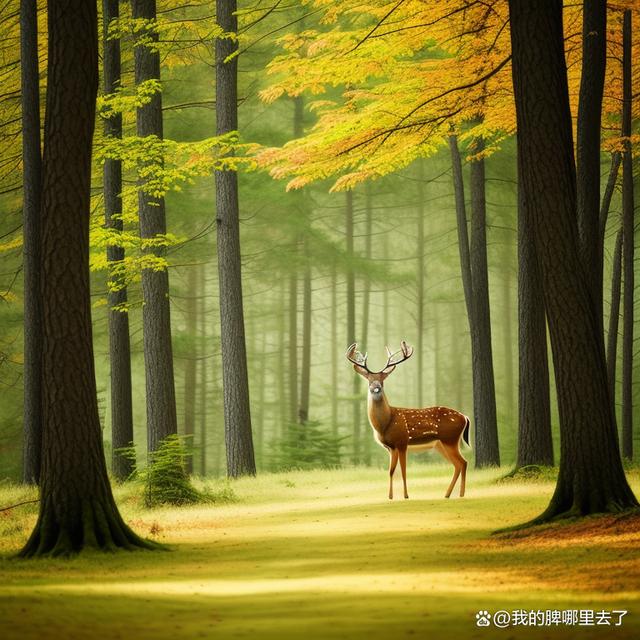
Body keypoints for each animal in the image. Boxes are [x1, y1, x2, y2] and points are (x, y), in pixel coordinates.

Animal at [346, 341, 470, 500]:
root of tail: (465, 417)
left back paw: (459, 494)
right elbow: (391, 470)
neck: (386, 423)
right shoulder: (390, 447)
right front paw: (390, 496)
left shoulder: (402, 441)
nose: (376, 387)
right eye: (369, 380)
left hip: (450, 439)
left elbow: (403, 470)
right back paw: (449, 494)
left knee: (463, 462)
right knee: (458, 464)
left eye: (382, 380)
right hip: (441, 444)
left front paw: (405, 495)